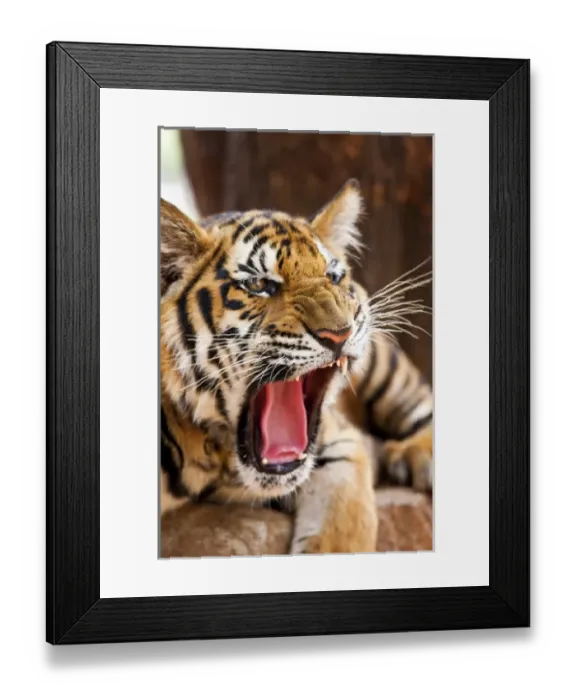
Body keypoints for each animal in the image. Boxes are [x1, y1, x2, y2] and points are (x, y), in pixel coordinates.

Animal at [160, 179, 433, 554]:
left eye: (333, 276)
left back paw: (417, 459)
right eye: (259, 285)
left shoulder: (338, 443)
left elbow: (342, 535)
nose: (339, 333)